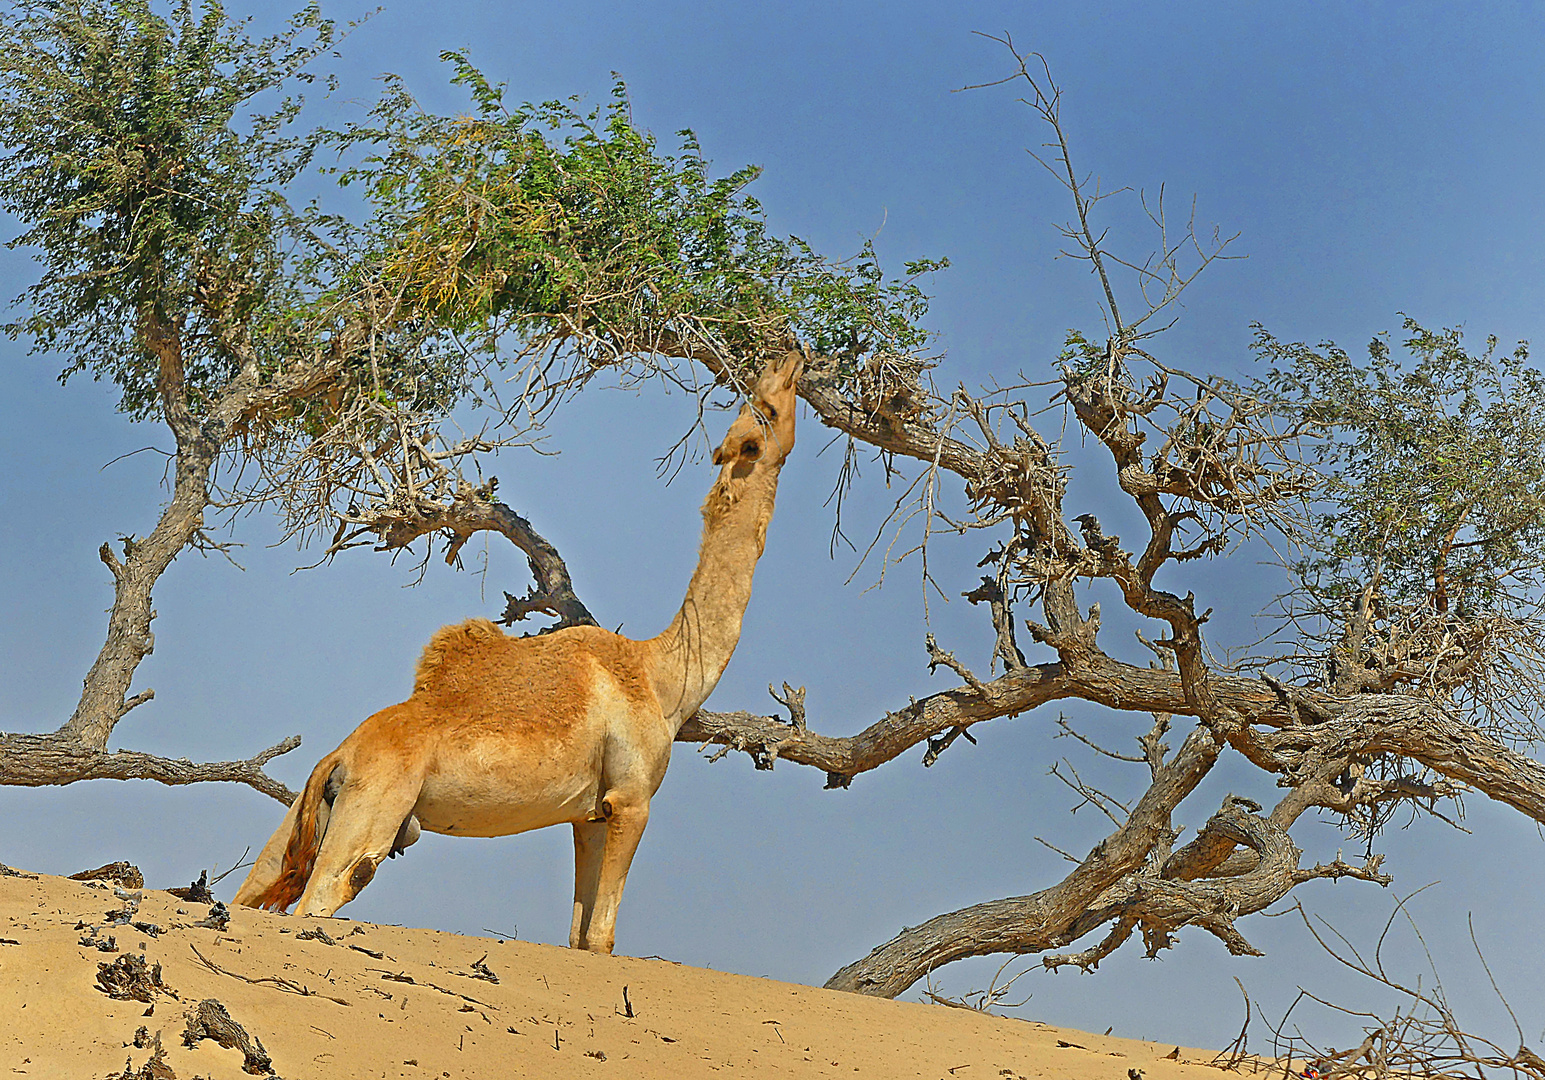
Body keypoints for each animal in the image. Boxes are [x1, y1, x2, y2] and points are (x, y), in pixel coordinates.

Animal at [234, 350, 803, 951]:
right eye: (765, 411)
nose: (789, 356)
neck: (661, 676)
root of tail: (338, 756)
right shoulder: (631, 801)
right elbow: (601, 940)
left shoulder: (589, 817)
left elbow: (577, 937)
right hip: (370, 809)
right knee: (321, 896)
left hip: (304, 820)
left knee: (253, 889)